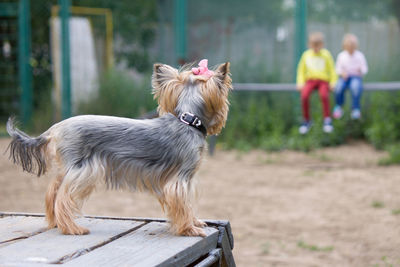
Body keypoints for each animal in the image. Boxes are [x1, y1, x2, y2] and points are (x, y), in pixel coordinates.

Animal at [6, 60, 231, 237]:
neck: (188, 120)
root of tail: (55, 129)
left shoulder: (184, 180)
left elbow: (187, 204)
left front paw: (194, 222)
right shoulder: (180, 179)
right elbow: (183, 203)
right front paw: (189, 229)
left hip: (67, 168)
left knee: (52, 192)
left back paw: (56, 223)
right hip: (84, 169)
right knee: (63, 197)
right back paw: (72, 228)